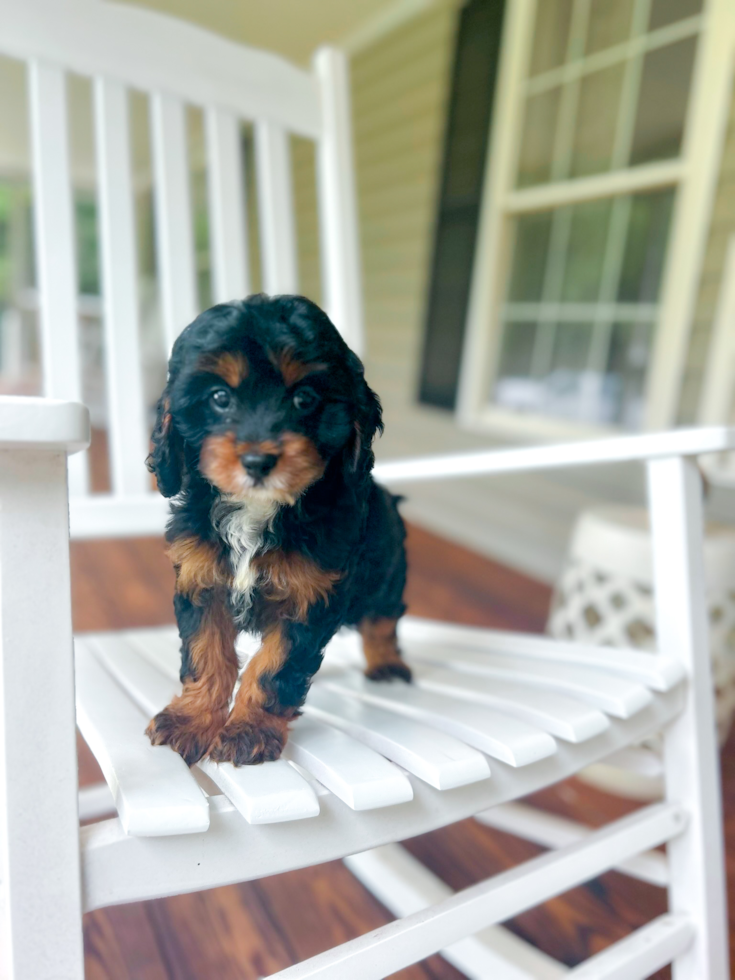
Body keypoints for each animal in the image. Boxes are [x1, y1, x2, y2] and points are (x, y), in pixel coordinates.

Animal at [144, 294, 408, 768]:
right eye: (219, 397)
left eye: (304, 398)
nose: (258, 461)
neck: (258, 509)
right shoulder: (201, 579)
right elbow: (206, 653)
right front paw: (192, 720)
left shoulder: (310, 597)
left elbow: (274, 667)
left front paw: (248, 730)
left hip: (386, 573)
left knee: (383, 618)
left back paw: (386, 662)